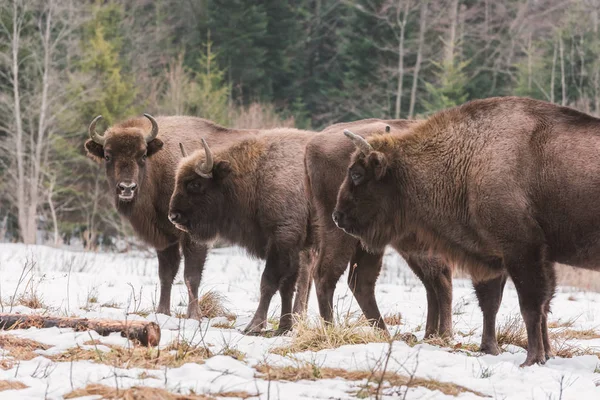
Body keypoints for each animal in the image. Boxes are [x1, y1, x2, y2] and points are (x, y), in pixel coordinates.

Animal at [84, 114, 260, 320]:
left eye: (142, 155)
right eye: (108, 156)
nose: (127, 188)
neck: (158, 167)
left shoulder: (193, 237)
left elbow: (191, 275)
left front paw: (194, 316)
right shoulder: (165, 237)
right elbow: (166, 274)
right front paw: (162, 312)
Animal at [169, 130, 316, 332]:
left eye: (195, 184)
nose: (173, 216)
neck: (257, 173)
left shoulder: (283, 241)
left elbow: (268, 283)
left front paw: (254, 326)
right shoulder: (291, 247)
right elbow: (286, 287)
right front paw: (284, 327)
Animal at [304, 119, 506, 354]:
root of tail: (313, 143)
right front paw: (488, 346)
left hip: (373, 243)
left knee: (367, 281)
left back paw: (393, 334)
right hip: (342, 234)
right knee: (327, 274)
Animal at [332, 97, 600, 366]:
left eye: (357, 174)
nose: (337, 216)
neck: (470, 158)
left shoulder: (522, 251)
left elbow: (531, 305)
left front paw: (531, 360)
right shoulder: (496, 255)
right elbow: (499, 303)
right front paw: (496, 349)